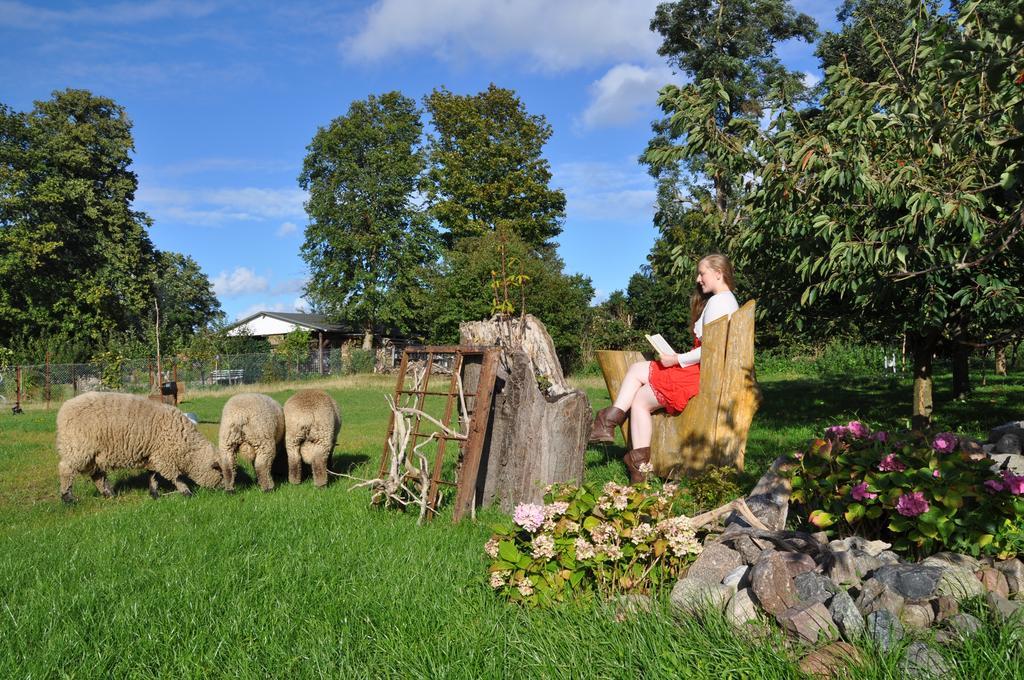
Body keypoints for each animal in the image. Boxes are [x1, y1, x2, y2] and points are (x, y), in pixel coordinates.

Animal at [56, 391, 224, 501]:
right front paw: (187, 492)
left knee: (97, 475)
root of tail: (64, 408)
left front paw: (154, 494)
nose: (226, 492)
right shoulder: (164, 457)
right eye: (222, 473)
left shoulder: (154, 455)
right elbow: (175, 477)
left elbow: (153, 475)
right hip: (78, 448)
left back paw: (109, 494)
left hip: (94, 455)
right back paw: (68, 498)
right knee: (66, 470)